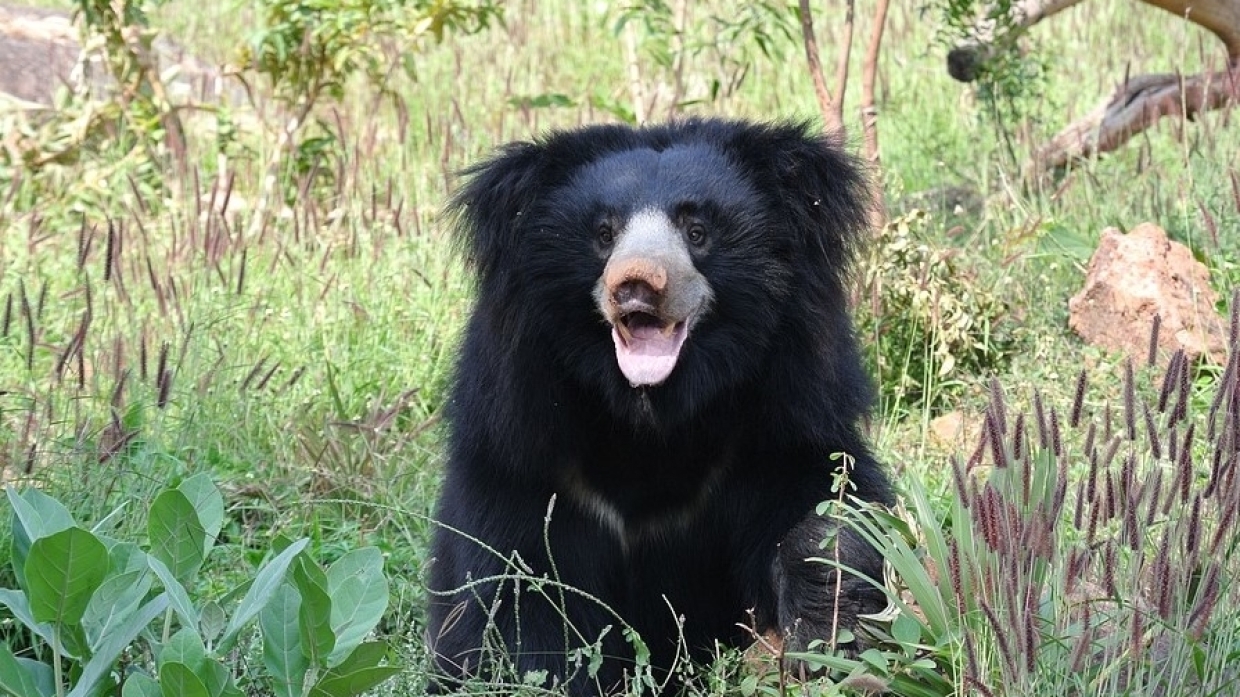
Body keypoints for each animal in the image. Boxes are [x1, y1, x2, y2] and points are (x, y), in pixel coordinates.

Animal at [429, 117, 892, 689]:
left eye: (697, 231)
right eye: (604, 234)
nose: (636, 284)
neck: (652, 413)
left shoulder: (783, 413)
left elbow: (825, 503)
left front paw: (824, 629)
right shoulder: (520, 440)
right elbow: (513, 580)